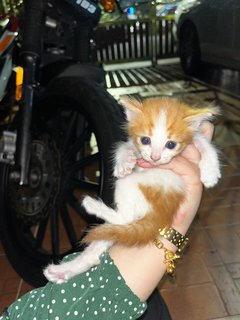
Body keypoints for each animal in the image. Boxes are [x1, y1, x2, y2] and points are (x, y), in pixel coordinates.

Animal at [43, 97, 221, 282]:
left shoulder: (195, 135)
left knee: (124, 219)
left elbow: (205, 144)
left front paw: (210, 172)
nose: (155, 157)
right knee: (104, 243)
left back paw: (92, 205)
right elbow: (124, 147)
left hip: (132, 185)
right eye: (145, 140)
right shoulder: (133, 143)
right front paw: (123, 162)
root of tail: (163, 211)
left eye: (171, 144)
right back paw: (62, 270)